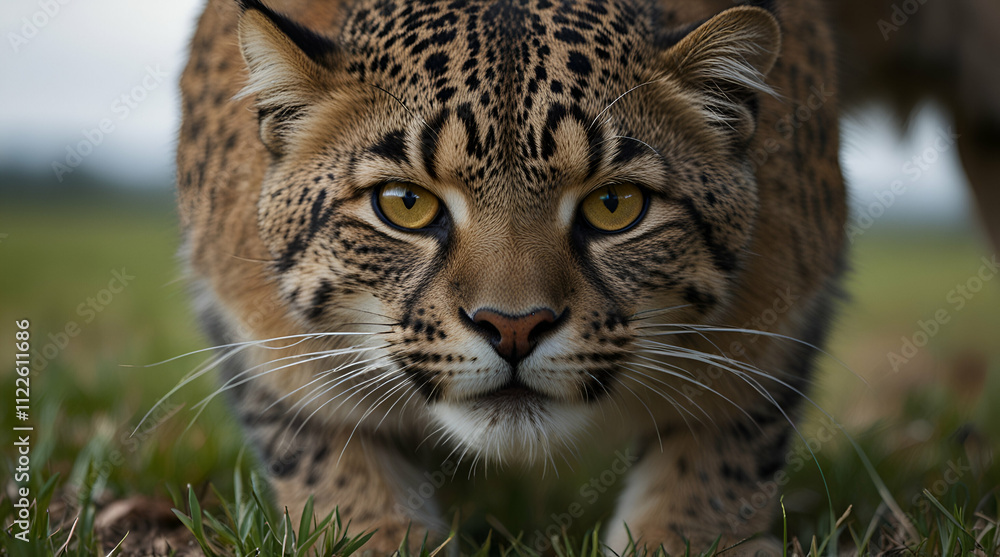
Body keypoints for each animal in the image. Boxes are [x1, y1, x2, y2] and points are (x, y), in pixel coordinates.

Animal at [175, 0, 846, 553]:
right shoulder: (257, 337)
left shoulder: (781, 326)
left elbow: (717, 465)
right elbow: (330, 460)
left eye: (615, 205)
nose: (514, 328)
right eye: (404, 203)